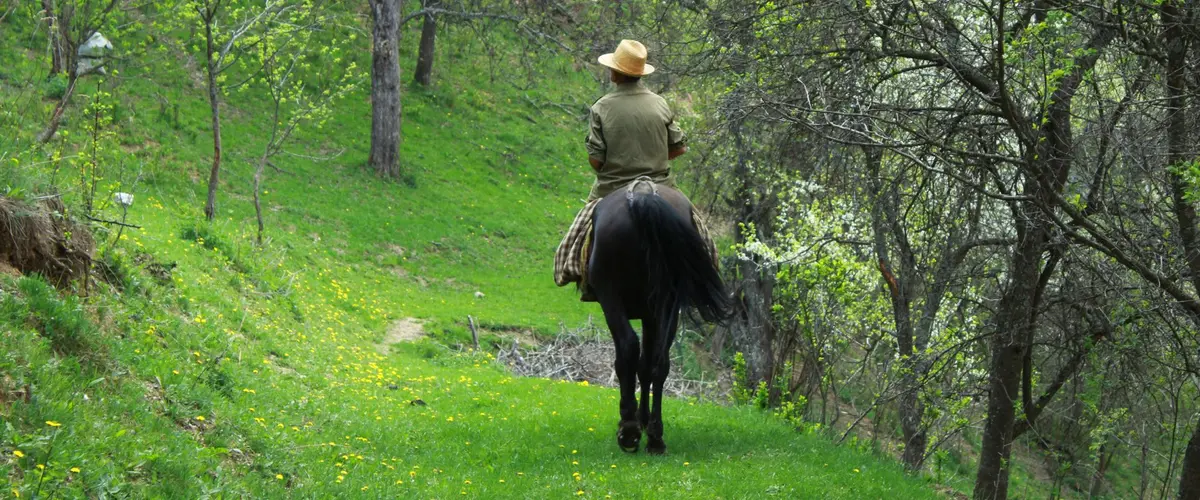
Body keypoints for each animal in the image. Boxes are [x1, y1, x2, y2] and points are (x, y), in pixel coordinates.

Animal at [586, 178, 731, 454]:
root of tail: (643, 196)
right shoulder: (651, 313)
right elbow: (646, 366)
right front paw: (645, 420)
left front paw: (634, 421)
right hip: (668, 303)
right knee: (660, 360)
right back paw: (655, 437)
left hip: (610, 296)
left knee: (628, 349)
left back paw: (629, 431)